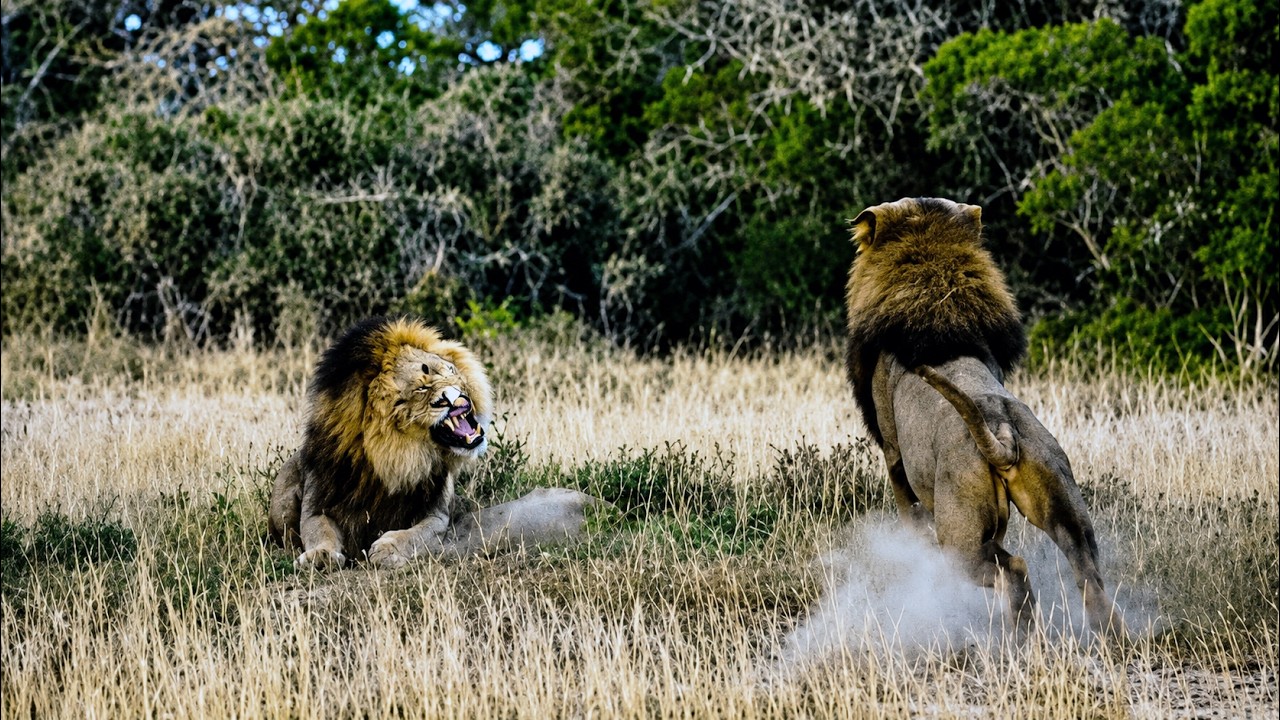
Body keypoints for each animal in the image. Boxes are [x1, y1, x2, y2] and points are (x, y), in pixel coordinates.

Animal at [267, 315, 492, 570]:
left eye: (451, 371)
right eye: (421, 387)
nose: (452, 396)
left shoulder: (437, 515)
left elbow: (412, 534)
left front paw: (388, 548)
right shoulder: (317, 507)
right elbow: (320, 531)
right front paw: (321, 556)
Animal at [845, 197, 1125, 638]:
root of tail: (1001, 431)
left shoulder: (891, 449)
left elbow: (907, 510)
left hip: (962, 539)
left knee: (1012, 569)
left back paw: (1019, 637)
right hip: (1065, 505)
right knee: (1087, 570)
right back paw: (1109, 634)